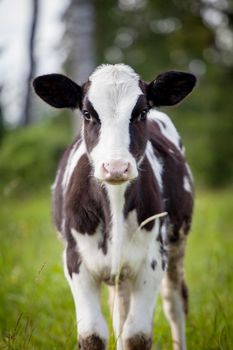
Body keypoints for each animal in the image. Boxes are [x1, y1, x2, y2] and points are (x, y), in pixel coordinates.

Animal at [33, 63, 196, 350]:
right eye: (87, 113)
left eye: (141, 113)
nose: (116, 167)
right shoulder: (76, 262)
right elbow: (93, 334)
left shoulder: (152, 261)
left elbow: (136, 335)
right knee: (119, 310)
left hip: (176, 245)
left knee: (174, 303)